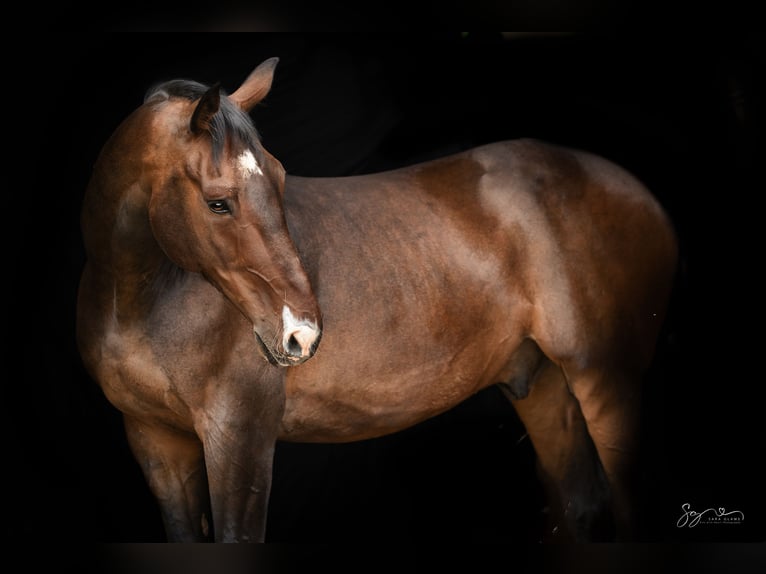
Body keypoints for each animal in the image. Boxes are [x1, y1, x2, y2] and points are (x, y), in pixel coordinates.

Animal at [76, 58, 680, 544]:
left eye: (280, 178)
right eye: (218, 202)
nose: (302, 333)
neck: (138, 300)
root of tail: (641, 197)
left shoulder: (239, 440)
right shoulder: (158, 446)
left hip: (607, 381)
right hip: (546, 388)